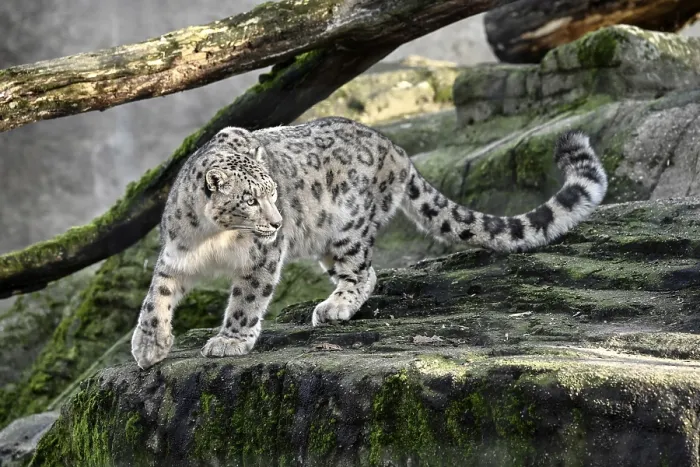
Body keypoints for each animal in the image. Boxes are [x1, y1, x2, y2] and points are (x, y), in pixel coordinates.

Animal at [131, 117, 607, 369]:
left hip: (346, 228)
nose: (277, 220)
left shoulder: (263, 256)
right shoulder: (176, 254)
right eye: (250, 199)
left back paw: (334, 307)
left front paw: (230, 340)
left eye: (272, 192)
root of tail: (395, 147)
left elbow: (248, 299)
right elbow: (156, 296)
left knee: (365, 271)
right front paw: (149, 345)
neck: (212, 239)